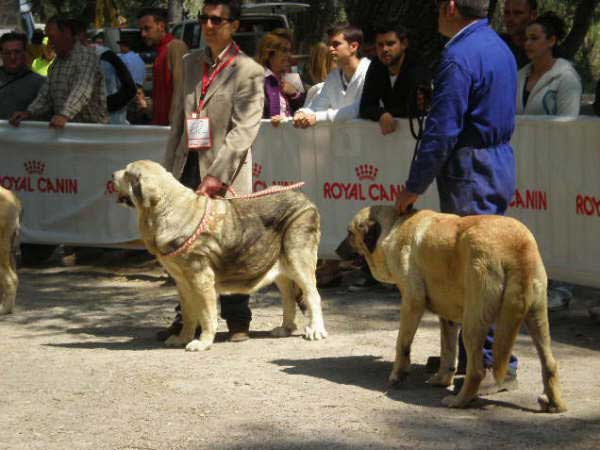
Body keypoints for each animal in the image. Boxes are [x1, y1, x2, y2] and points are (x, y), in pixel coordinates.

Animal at [112, 161, 328, 352]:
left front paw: (203, 342)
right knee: (288, 296)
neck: (166, 210)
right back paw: (285, 328)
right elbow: (188, 315)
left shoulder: (202, 279)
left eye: (127, 173)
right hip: (280, 267)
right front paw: (182, 338)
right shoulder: (182, 283)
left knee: (312, 295)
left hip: (298, 260)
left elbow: (206, 315)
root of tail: (303, 198)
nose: (112, 175)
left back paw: (316, 330)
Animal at [340, 206, 564, 414]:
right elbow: (447, 349)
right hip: (537, 319)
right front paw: (442, 378)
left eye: (350, 233)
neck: (395, 224)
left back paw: (459, 401)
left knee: (477, 370)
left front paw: (397, 376)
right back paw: (555, 404)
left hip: (473, 323)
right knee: (550, 364)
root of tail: (517, 245)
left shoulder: (412, 302)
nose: (336, 251)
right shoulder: (447, 317)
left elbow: (402, 343)